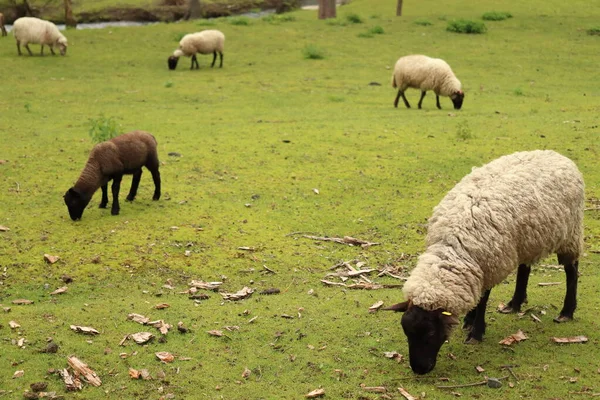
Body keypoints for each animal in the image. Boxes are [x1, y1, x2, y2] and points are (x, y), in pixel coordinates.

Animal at [384, 150, 584, 376]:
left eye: (430, 334)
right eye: (406, 332)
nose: (419, 369)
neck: (454, 247)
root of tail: (555, 154)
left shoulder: (488, 264)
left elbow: (482, 299)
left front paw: (476, 332)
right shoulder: (477, 268)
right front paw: (468, 320)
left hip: (570, 232)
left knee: (571, 270)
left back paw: (566, 312)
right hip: (527, 238)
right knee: (524, 267)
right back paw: (514, 303)